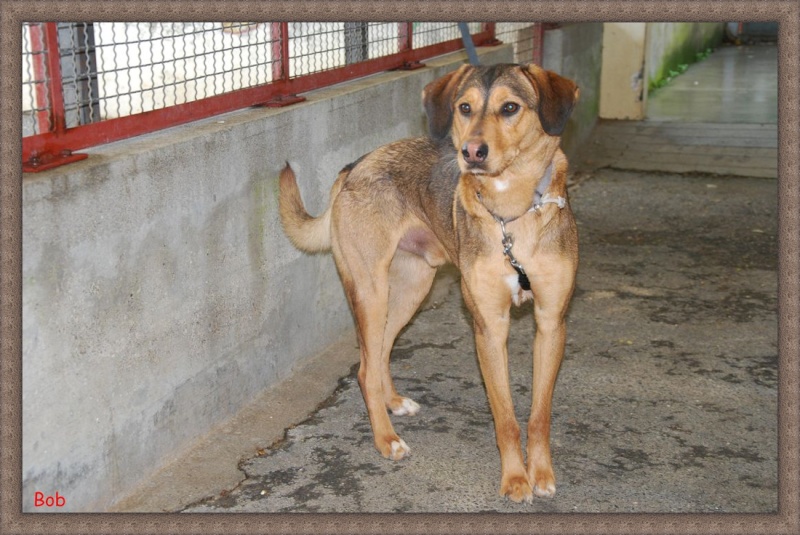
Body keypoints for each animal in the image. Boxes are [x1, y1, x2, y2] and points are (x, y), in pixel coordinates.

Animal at [278, 62, 580, 502]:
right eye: (465, 107)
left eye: (510, 107)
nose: (471, 152)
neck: (511, 213)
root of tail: (354, 165)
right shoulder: (489, 328)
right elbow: (505, 416)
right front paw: (514, 479)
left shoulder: (551, 322)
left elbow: (539, 414)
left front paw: (540, 473)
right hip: (371, 291)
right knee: (365, 367)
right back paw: (386, 439)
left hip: (411, 290)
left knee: (379, 353)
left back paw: (393, 402)